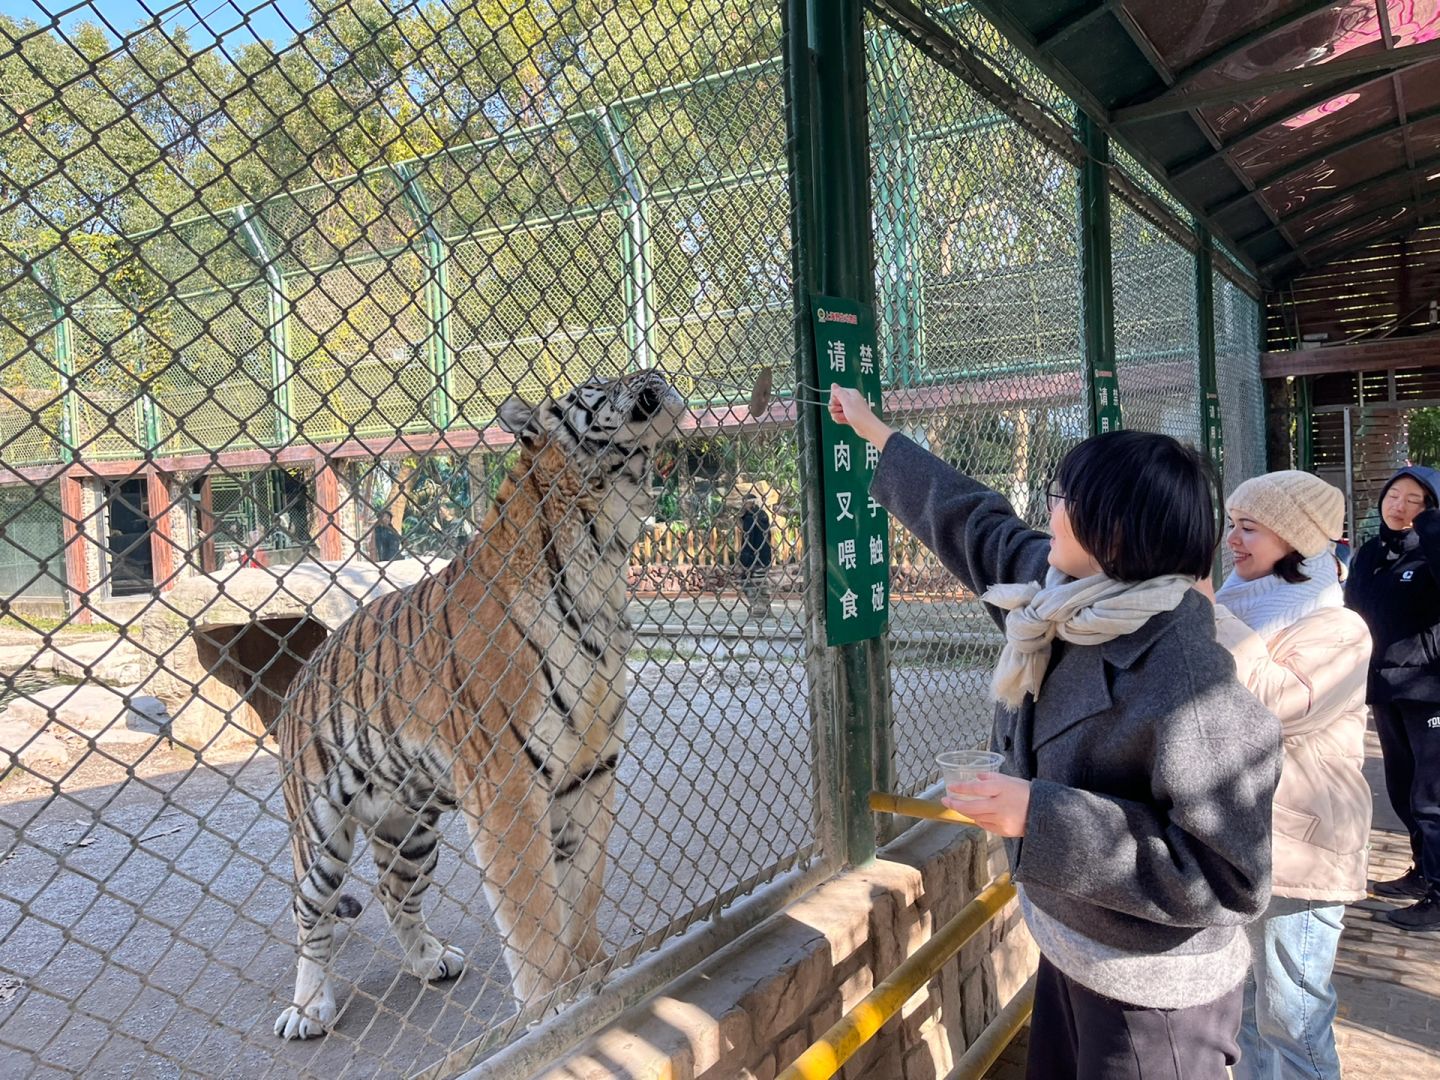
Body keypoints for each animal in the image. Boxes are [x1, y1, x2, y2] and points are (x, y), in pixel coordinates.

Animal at [276, 371, 691, 1042]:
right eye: (598, 384)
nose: (658, 377)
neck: (604, 548)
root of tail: (303, 671)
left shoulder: (591, 771)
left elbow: (583, 895)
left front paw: (596, 977)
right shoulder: (506, 786)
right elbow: (533, 915)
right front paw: (551, 1010)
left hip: (410, 831)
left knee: (394, 893)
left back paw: (429, 959)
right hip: (319, 831)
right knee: (310, 912)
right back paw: (308, 1008)